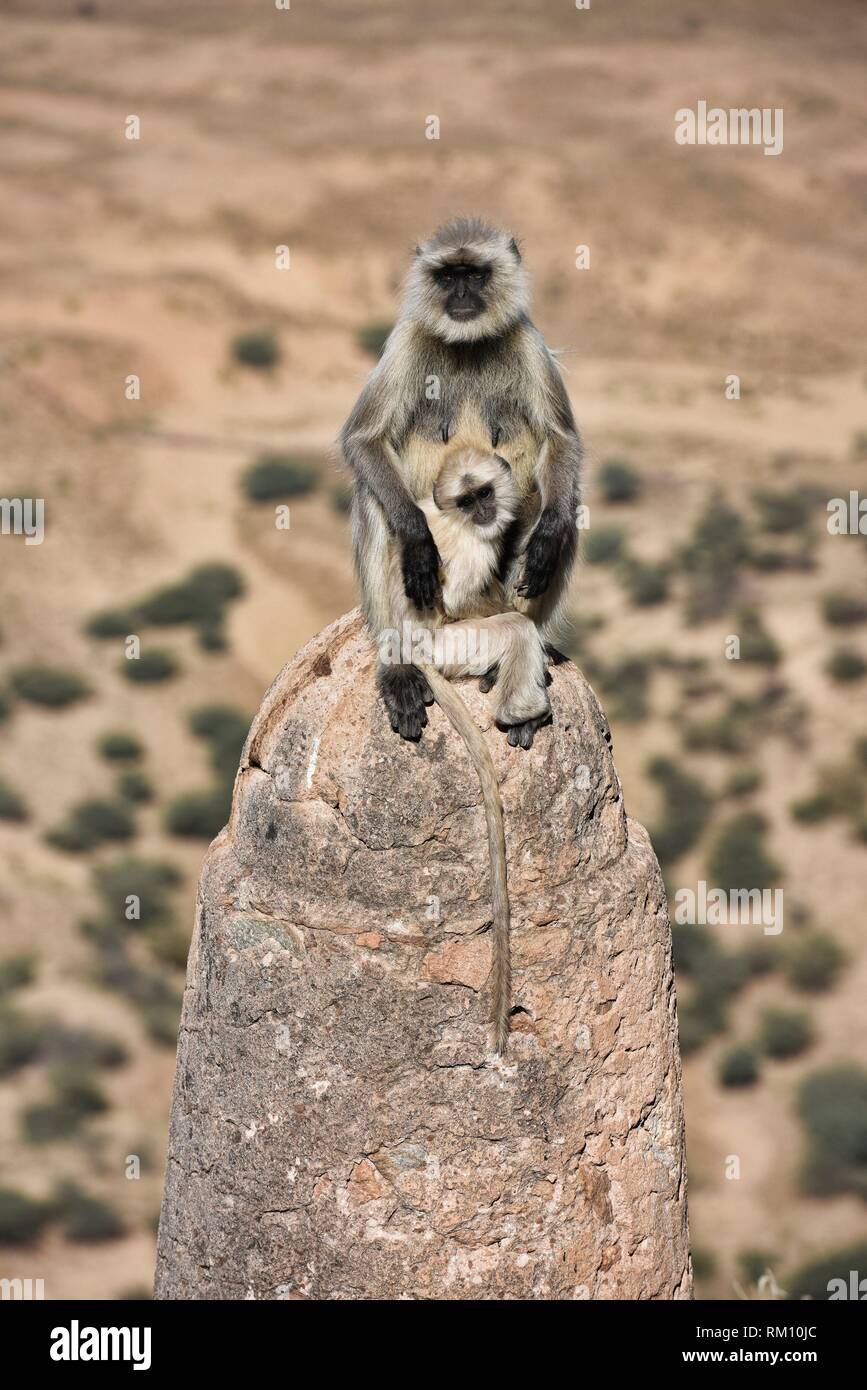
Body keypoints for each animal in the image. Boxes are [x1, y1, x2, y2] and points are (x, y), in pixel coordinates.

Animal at [341, 216, 582, 747]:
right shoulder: (406, 340)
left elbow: (562, 442)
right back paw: (398, 666)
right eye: (448, 275)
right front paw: (416, 539)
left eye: (475, 273)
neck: (468, 343)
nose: (462, 294)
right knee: (374, 498)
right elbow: (365, 440)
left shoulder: (528, 342)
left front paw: (547, 538)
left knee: (565, 507)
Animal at [380, 446, 551, 1053]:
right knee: (514, 628)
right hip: (448, 647)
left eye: (485, 492)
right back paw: (517, 707)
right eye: (468, 498)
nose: (483, 512)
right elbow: (462, 599)